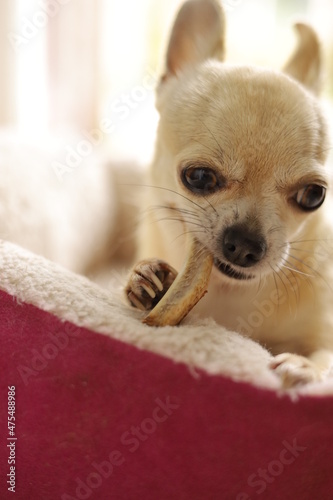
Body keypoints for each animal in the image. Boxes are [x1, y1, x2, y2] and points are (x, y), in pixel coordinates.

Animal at [125, 0, 332, 388]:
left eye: (313, 195)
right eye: (199, 177)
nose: (246, 244)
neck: (230, 294)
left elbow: (325, 355)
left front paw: (304, 367)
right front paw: (145, 279)